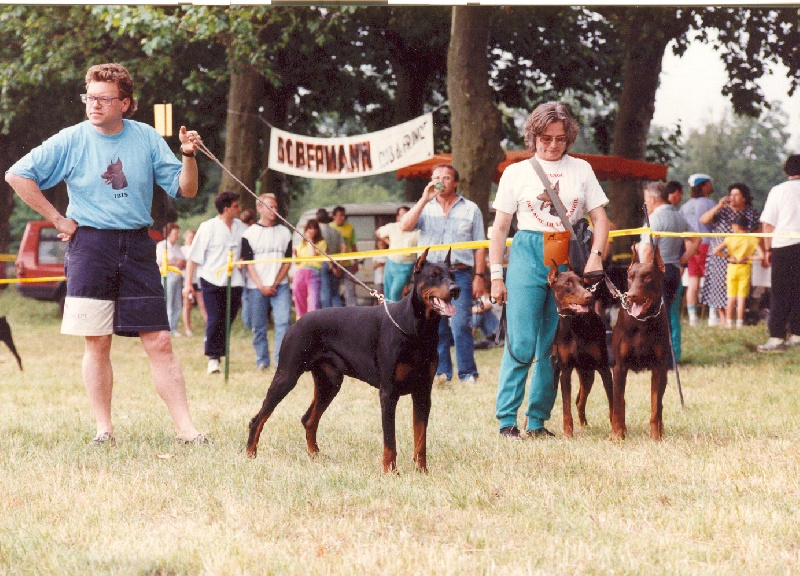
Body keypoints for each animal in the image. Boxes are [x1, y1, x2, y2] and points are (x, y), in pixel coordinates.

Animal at [244, 249, 460, 472]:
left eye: (452, 275)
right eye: (434, 275)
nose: (455, 289)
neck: (417, 330)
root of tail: (297, 322)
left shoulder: (423, 392)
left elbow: (420, 438)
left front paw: (422, 471)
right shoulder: (388, 393)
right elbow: (390, 440)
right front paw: (390, 472)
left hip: (329, 383)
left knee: (308, 419)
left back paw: (315, 456)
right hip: (286, 376)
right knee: (258, 419)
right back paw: (250, 454)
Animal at [552, 264, 612, 436]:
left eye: (582, 282)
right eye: (567, 283)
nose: (589, 296)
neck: (574, 324)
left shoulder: (604, 368)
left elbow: (614, 403)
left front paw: (617, 428)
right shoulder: (565, 372)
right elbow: (566, 406)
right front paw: (568, 433)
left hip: (588, 374)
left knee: (580, 401)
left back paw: (585, 424)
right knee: (579, 401)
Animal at [612, 244, 668, 440]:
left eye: (648, 276)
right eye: (630, 276)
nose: (631, 296)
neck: (642, 322)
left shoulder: (659, 368)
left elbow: (655, 407)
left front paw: (656, 437)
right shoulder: (620, 367)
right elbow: (618, 406)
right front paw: (617, 436)